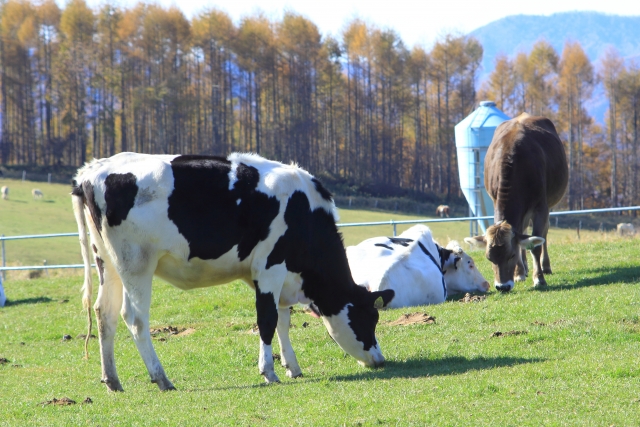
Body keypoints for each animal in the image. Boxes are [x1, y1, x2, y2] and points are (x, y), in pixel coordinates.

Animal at [71, 153, 396, 392]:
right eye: (370, 318)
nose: (380, 360)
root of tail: (92, 171)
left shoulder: (275, 276)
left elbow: (283, 320)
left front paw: (292, 366)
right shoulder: (270, 266)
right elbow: (267, 320)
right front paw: (269, 372)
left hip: (107, 262)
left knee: (104, 313)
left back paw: (112, 381)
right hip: (136, 264)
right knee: (135, 318)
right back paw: (162, 379)